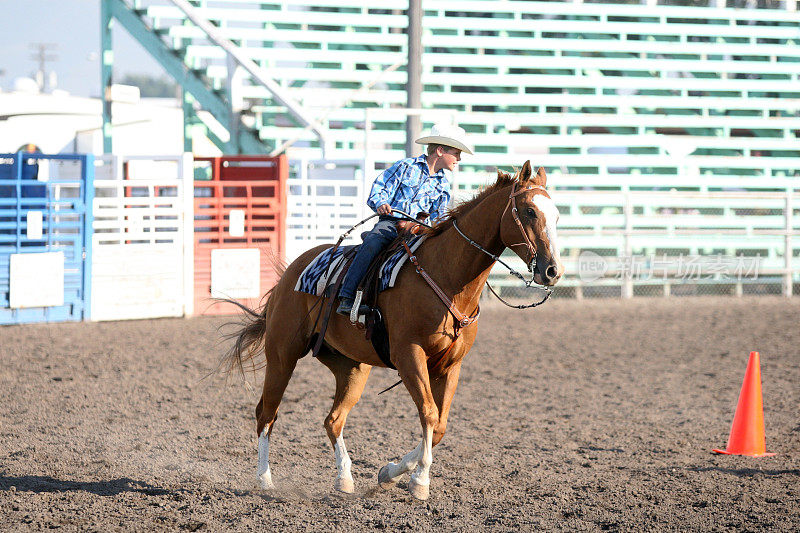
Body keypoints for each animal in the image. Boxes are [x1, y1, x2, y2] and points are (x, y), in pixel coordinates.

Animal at [222, 161, 564, 498]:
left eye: (557, 215)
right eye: (530, 211)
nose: (552, 271)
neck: (446, 277)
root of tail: (291, 273)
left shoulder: (451, 365)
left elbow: (439, 426)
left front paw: (391, 472)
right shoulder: (409, 356)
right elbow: (428, 413)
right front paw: (420, 481)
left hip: (352, 367)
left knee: (333, 420)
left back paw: (344, 479)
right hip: (283, 355)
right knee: (266, 413)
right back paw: (265, 480)